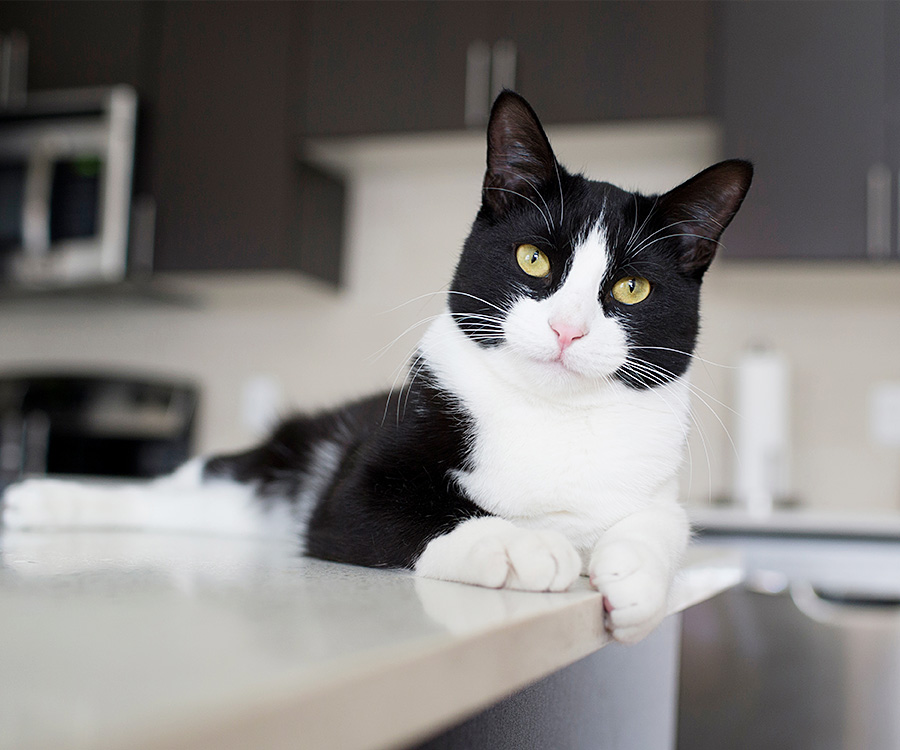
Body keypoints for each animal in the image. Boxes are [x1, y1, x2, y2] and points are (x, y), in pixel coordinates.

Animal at [3, 92, 752, 648]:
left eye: (632, 289)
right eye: (534, 259)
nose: (568, 329)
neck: (550, 416)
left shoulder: (651, 484)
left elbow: (664, 524)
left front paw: (634, 581)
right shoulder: (353, 488)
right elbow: (416, 508)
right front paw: (516, 544)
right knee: (174, 488)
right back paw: (44, 501)